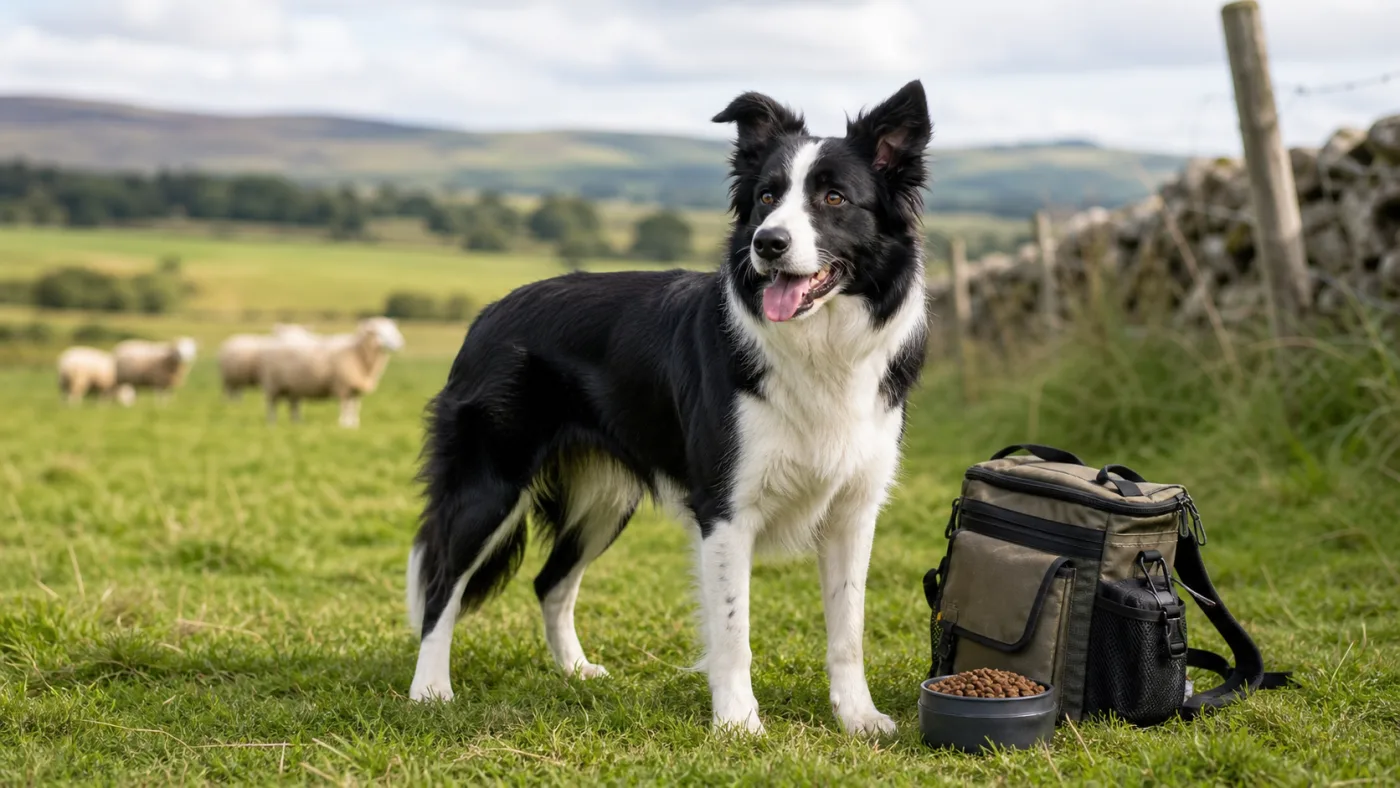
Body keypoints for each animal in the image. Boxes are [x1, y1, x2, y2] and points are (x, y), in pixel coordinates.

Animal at [260, 317, 405, 428]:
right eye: (378, 332)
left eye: (393, 330)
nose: (400, 343)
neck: (356, 351)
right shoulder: (342, 386)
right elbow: (344, 406)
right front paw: (344, 425)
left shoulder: (356, 389)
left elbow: (355, 407)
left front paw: (354, 425)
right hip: (273, 384)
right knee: (271, 405)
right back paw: (272, 424)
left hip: (293, 386)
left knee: (293, 405)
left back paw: (296, 423)